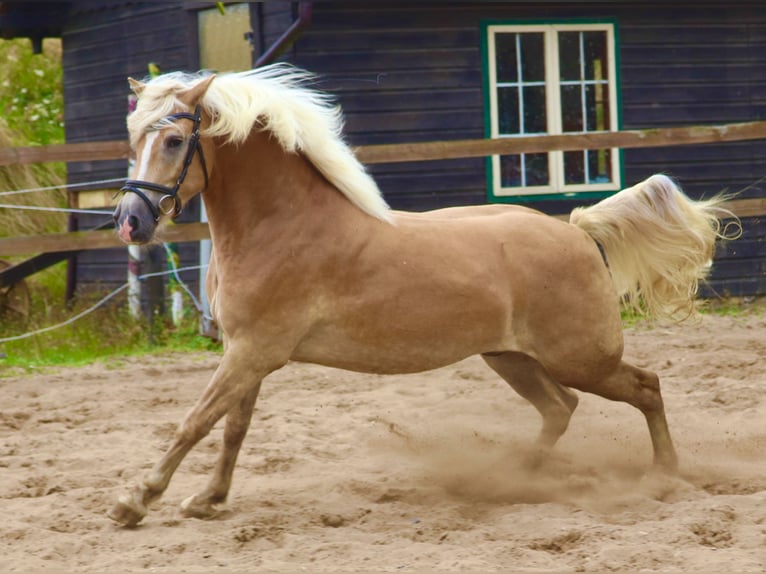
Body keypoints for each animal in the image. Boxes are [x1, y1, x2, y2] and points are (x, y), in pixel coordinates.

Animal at [111, 62, 736, 528]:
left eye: (174, 140)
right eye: (134, 140)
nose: (130, 223)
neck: (281, 225)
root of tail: (579, 231)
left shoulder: (253, 351)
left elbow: (195, 422)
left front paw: (135, 501)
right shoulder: (247, 352)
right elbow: (232, 428)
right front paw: (208, 500)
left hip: (581, 356)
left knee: (645, 387)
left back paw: (663, 476)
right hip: (512, 357)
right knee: (562, 408)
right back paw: (507, 478)